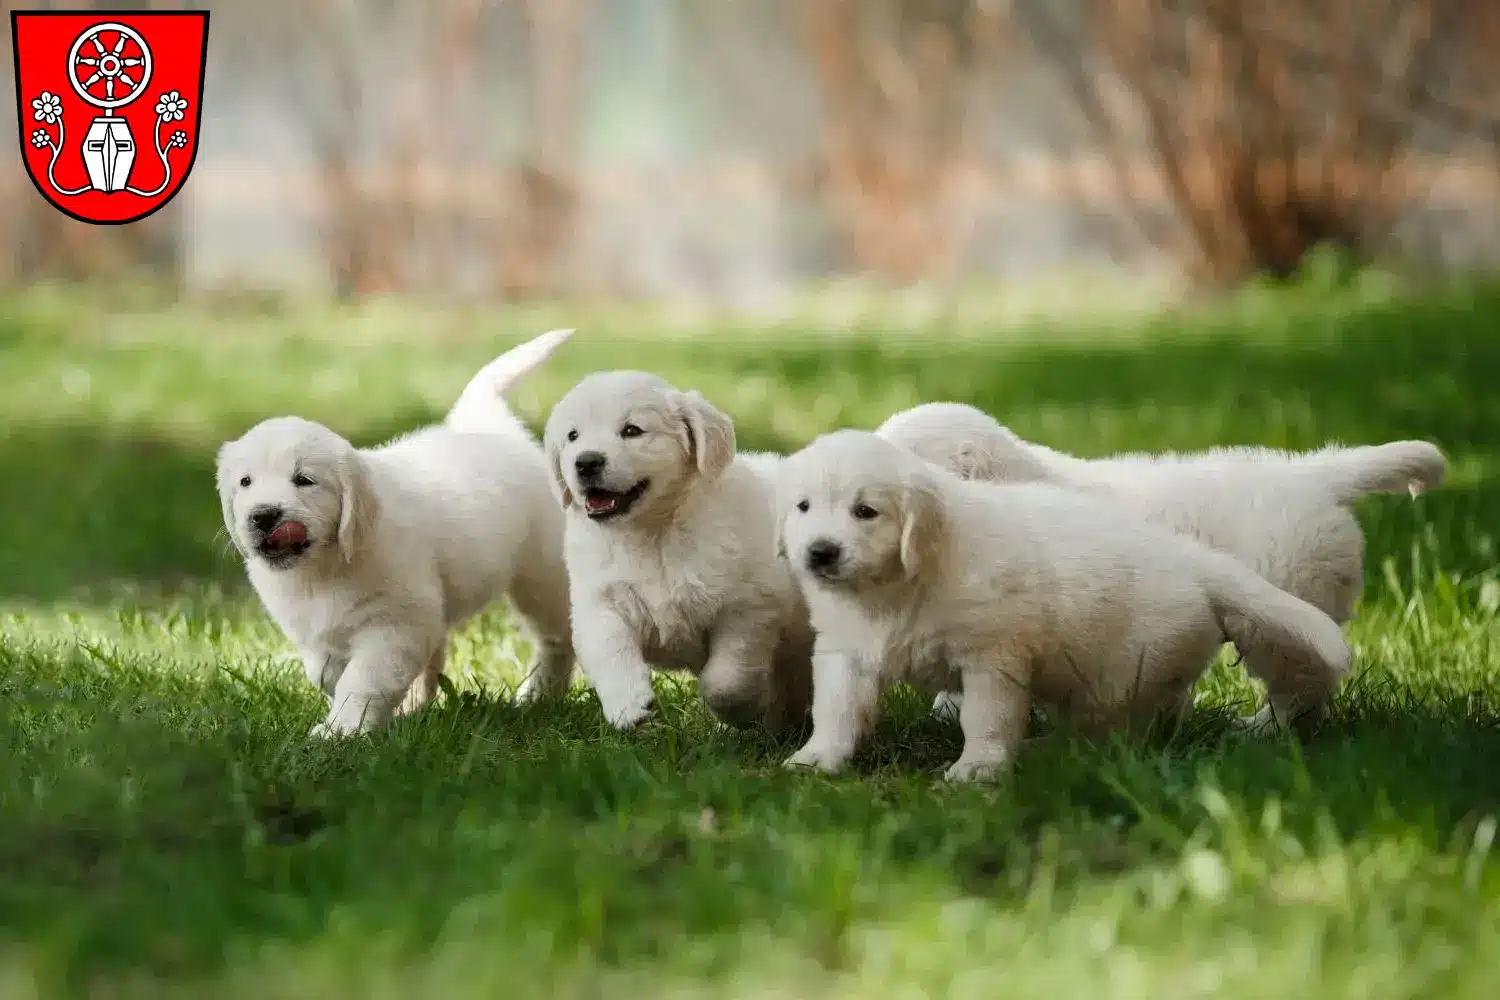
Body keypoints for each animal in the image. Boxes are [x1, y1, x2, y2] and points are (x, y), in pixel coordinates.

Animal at [219, 328, 576, 734]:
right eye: (245, 482)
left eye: (304, 480)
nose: (263, 516)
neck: (326, 564)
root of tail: (490, 428)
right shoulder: (318, 634)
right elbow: (325, 672)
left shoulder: (394, 626)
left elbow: (363, 679)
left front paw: (342, 729)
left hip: (543, 576)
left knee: (557, 639)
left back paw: (539, 696)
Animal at [546, 371, 816, 731]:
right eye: (573, 436)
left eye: (632, 430)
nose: (586, 462)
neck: (652, 534)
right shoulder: (600, 599)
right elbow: (608, 647)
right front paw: (627, 705)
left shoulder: (749, 608)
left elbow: (727, 679)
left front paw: (741, 712)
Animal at [780, 431, 1356, 779]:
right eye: (802, 506)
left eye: (866, 511)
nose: (820, 553)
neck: (894, 587)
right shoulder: (845, 653)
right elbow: (837, 710)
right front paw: (816, 758)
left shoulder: (993, 656)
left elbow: (986, 718)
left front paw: (978, 769)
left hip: (1127, 668)